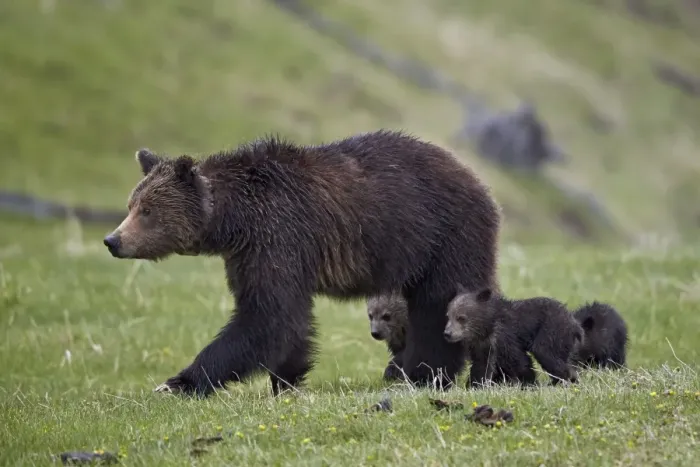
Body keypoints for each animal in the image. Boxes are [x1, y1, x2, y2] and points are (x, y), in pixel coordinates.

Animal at [103, 129, 501, 397]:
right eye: (131, 205)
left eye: (147, 211)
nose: (113, 241)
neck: (234, 219)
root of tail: (479, 181)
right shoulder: (248, 253)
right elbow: (285, 320)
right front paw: (287, 378)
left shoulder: (278, 234)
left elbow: (267, 317)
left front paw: (178, 382)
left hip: (443, 236)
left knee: (438, 305)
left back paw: (426, 372)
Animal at [444, 287, 583, 388]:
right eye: (448, 315)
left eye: (461, 318)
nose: (447, 333)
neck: (487, 328)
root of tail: (575, 324)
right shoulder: (481, 346)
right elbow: (481, 365)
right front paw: (475, 385)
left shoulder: (505, 337)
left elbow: (519, 360)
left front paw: (529, 383)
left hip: (553, 330)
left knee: (546, 353)